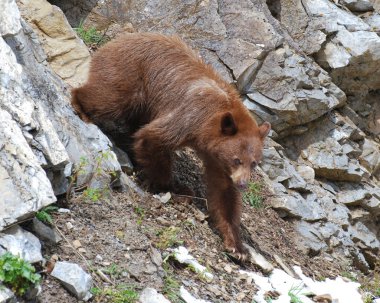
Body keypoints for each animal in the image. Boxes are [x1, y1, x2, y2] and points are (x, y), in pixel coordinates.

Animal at [71, 32, 272, 258]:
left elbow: (223, 192)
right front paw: (174, 188)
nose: (243, 183)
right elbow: (154, 138)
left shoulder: (217, 158)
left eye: (254, 163)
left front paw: (236, 246)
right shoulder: (191, 115)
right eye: (237, 159)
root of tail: (119, 38)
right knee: (109, 97)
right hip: (131, 75)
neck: (208, 128)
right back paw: (81, 106)